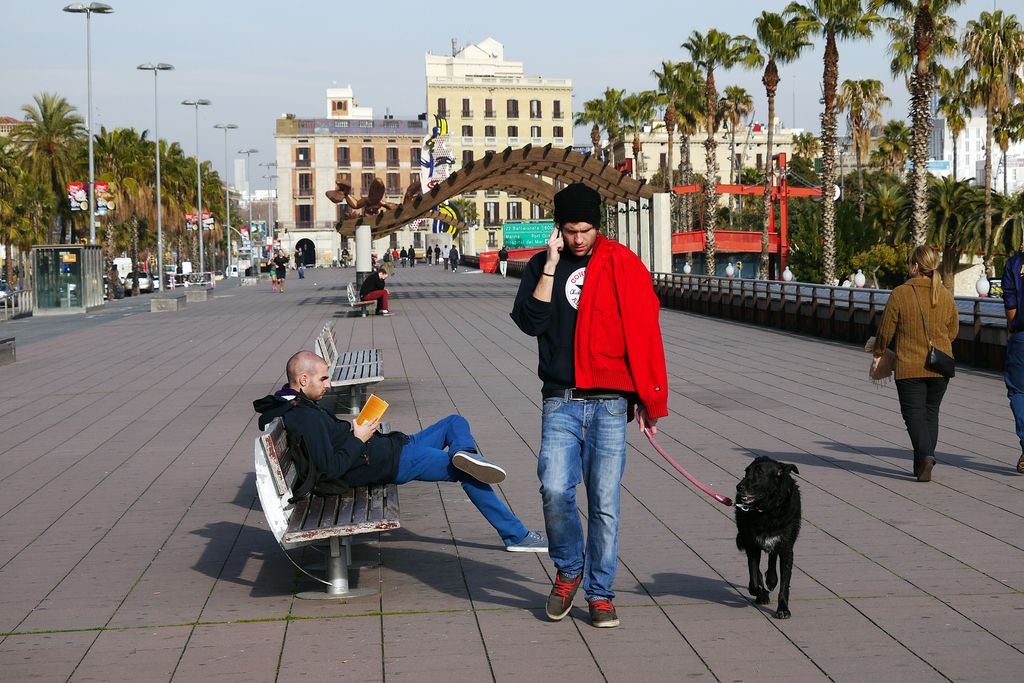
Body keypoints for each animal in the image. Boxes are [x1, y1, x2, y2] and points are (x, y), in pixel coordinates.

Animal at [737, 456, 798, 618]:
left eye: (760, 473)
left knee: (772, 558)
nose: (739, 487)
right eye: (746, 471)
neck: (768, 510)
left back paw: (771, 580)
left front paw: (783, 609)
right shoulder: (752, 545)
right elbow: (754, 579)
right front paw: (760, 593)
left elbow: (784, 583)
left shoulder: (787, 549)